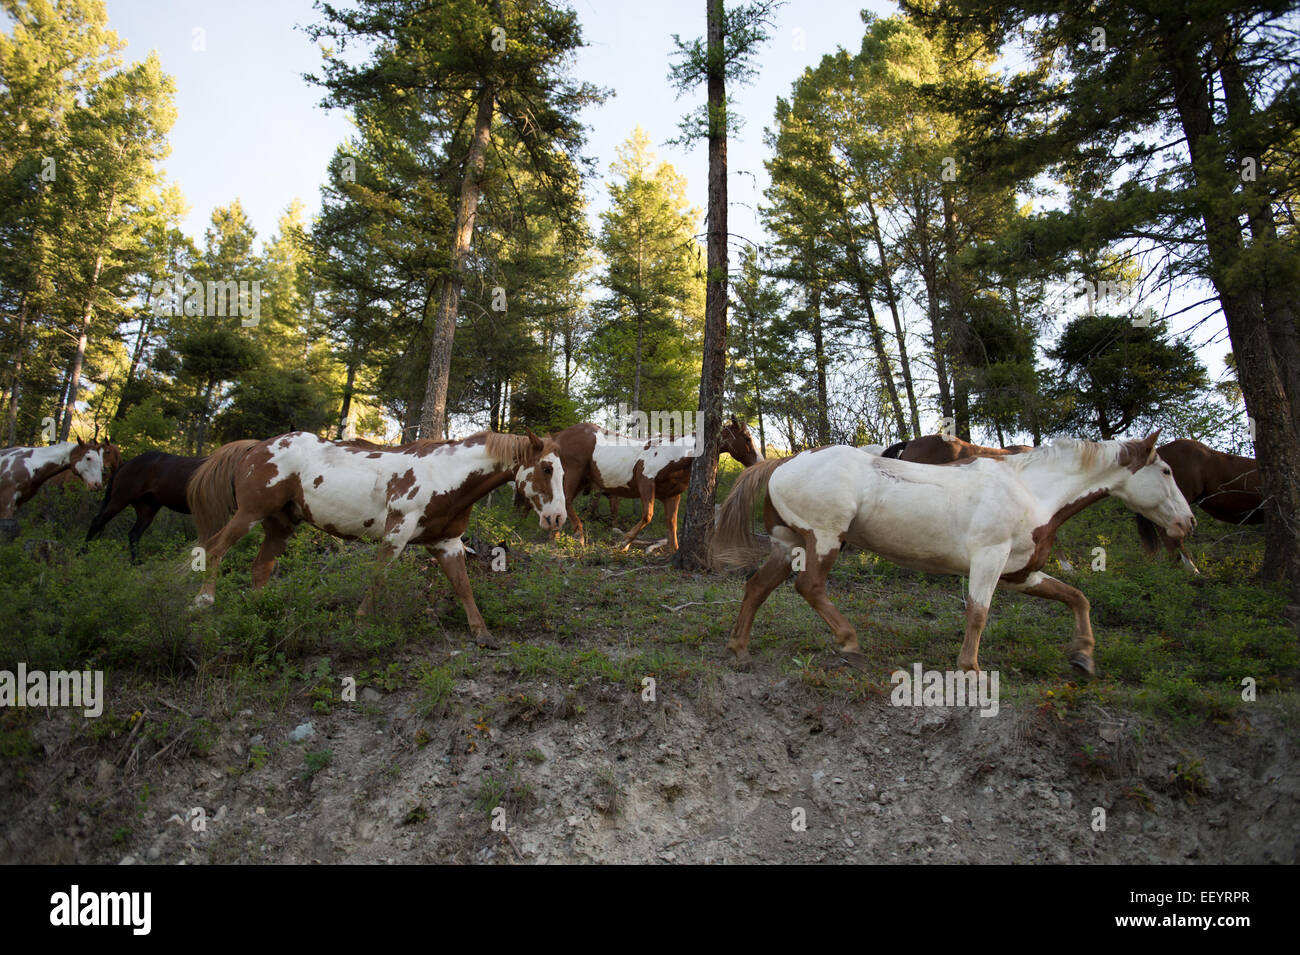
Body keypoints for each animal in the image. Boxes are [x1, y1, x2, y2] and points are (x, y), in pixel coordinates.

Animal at [186, 430, 566, 641]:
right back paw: (203, 602)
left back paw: (260, 611)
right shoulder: (397, 531)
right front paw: (360, 622)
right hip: (249, 513)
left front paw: (481, 632)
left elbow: (463, 587)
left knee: (260, 568)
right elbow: (379, 577)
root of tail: (256, 447)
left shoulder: (447, 544)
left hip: (281, 525)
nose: (557, 517)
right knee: (215, 548)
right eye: (546, 468)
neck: (445, 474)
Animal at [535, 417, 759, 551]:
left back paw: (561, 537)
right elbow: (647, 516)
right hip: (573, 475)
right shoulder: (646, 483)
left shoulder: (671, 495)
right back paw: (570, 537)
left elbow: (671, 523)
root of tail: (559, 436)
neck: (675, 454)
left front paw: (674, 552)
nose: (759, 461)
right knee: (564, 503)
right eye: (747, 438)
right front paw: (623, 543)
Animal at [711, 431, 1193, 676]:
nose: (1187, 523)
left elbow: (1077, 597)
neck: (1030, 489)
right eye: (1167, 471)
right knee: (809, 586)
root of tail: (782, 462)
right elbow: (978, 613)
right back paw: (849, 642)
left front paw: (1085, 656)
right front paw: (971, 668)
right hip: (826, 538)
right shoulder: (988, 560)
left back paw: (739, 649)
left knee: (757, 587)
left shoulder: (1021, 574)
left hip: (790, 544)